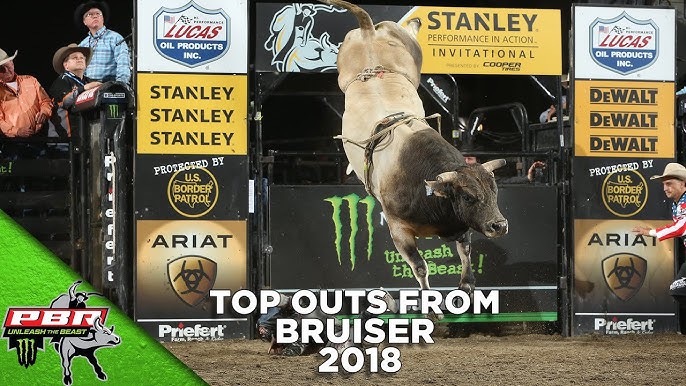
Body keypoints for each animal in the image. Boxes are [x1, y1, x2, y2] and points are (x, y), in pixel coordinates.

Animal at [320, 0, 508, 298]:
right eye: (468, 197)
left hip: (404, 50)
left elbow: (466, 251)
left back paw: (415, 23)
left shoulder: (459, 223)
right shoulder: (398, 230)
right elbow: (420, 266)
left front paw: (466, 283)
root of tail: (369, 31)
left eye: (495, 191)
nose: (498, 225)